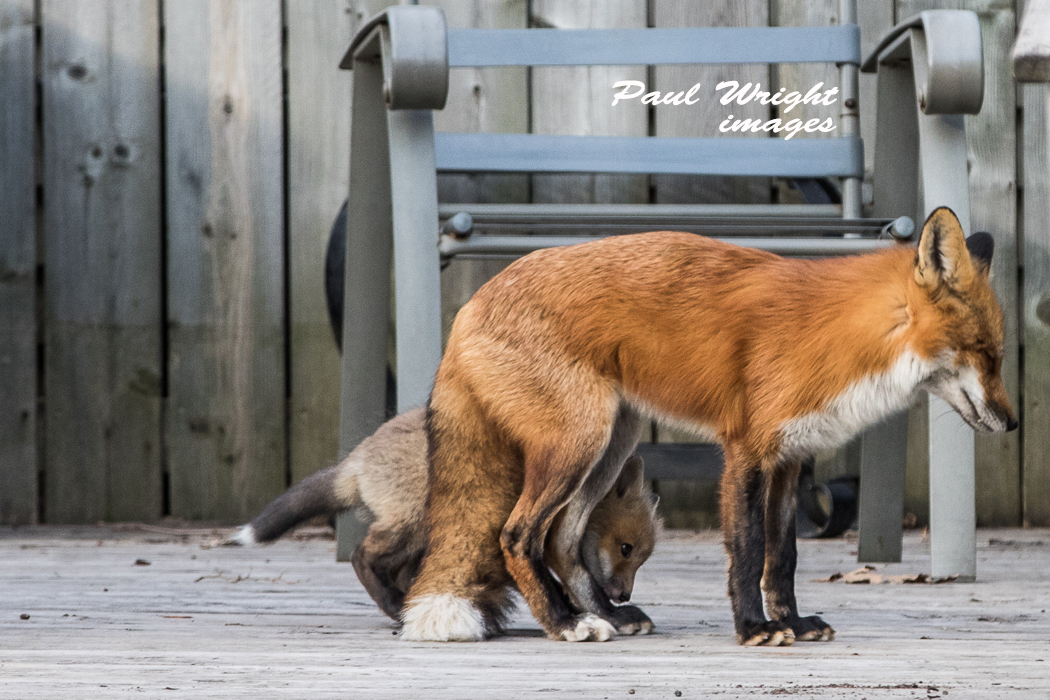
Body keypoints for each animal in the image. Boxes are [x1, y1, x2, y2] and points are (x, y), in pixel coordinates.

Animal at [231, 408, 660, 629]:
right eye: (625, 548)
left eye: (641, 558)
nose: (624, 595)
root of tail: (356, 458)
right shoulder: (503, 539)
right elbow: (549, 582)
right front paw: (577, 615)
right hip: (413, 526)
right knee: (360, 556)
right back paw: (395, 606)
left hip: (422, 539)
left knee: (399, 571)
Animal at [402, 207, 1016, 645]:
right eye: (984, 352)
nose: (1011, 424)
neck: (845, 339)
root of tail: (471, 304)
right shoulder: (746, 450)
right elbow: (747, 550)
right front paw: (755, 629)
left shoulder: (791, 459)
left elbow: (783, 557)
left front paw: (793, 622)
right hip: (578, 444)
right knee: (517, 535)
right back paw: (564, 623)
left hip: (610, 446)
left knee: (561, 541)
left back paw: (606, 616)